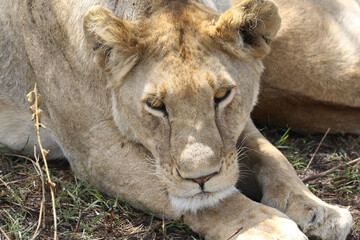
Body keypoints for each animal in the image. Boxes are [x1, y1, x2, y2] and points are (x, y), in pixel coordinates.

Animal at [0, 0, 354, 239]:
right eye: (156, 105)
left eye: (222, 95)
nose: (202, 176)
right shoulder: (98, 153)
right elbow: (207, 200)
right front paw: (272, 229)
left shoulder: (236, 133)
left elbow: (273, 157)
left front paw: (318, 210)